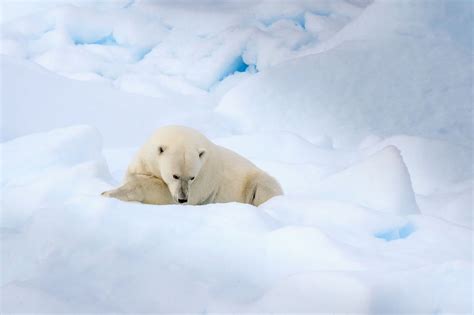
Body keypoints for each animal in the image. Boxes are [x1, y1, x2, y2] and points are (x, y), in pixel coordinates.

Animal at [102, 126, 284, 207]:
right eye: (175, 175)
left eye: (192, 177)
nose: (183, 199)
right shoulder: (145, 159)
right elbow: (134, 174)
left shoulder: (203, 180)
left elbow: (161, 193)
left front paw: (108, 193)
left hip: (257, 181)